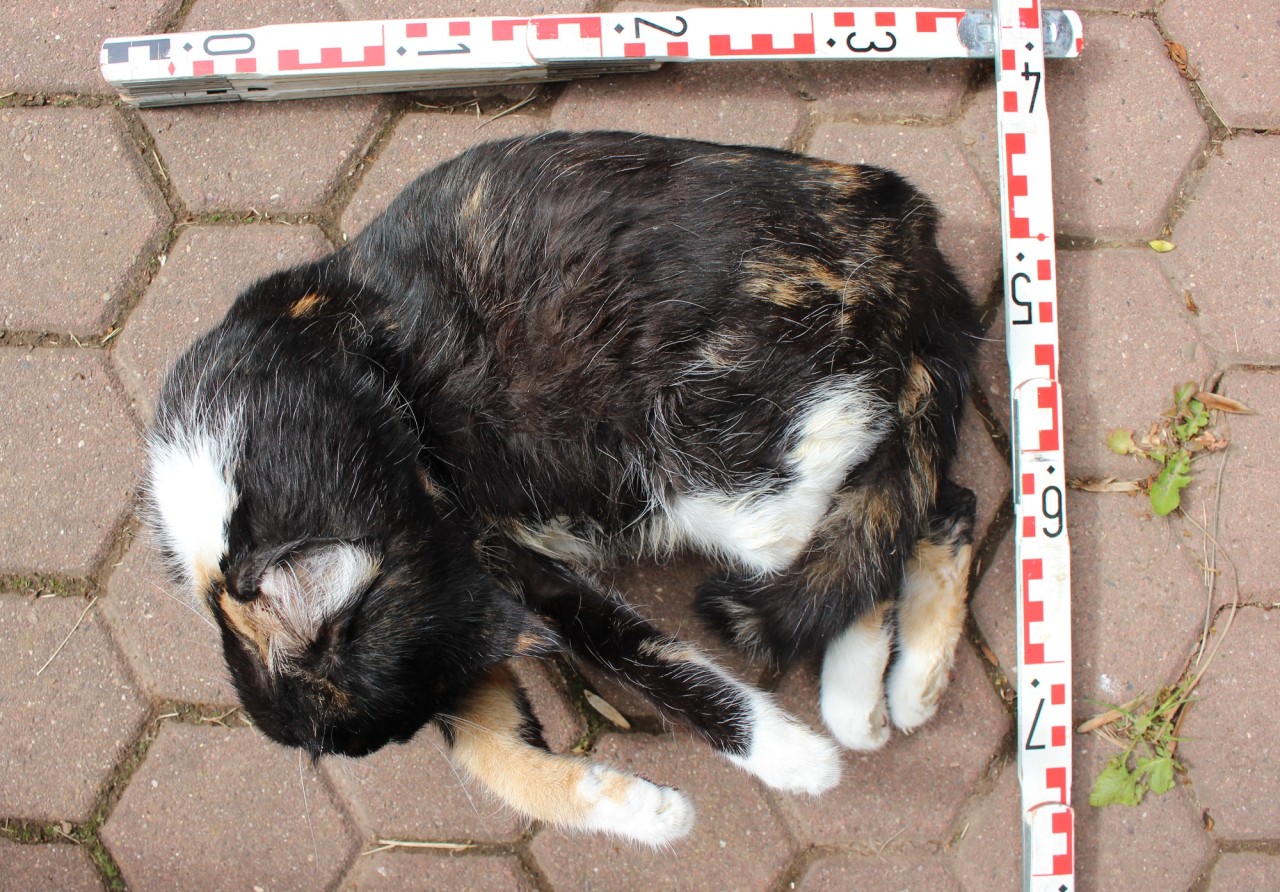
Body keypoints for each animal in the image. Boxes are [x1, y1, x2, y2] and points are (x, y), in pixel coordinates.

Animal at [142, 128, 977, 844]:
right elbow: (487, 751)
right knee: (917, 509)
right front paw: (641, 811)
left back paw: (868, 696)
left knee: (872, 511)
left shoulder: (480, 556)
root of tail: (905, 219)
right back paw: (890, 695)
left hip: (722, 463)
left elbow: (645, 657)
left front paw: (793, 761)